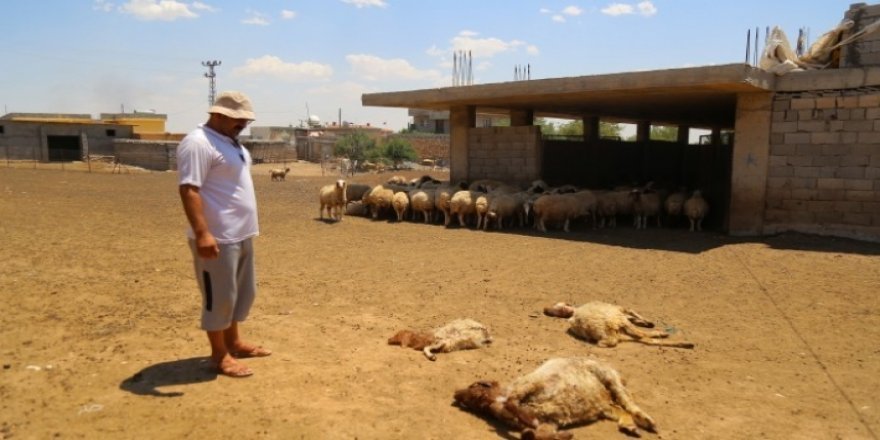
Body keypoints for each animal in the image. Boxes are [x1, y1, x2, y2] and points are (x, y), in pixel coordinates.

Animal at [458, 358, 656, 440]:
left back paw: (649, 422)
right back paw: (631, 427)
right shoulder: (550, 421)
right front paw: (564, 435)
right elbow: (538, 433)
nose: (456, 395)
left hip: (608, 376)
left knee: (628, 402)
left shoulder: (532, 384)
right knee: (622, 409)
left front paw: (529, 423)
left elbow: (513, 402)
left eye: (474, 387)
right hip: (606, 405)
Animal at [544, 300, 696, 348]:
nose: (547, 310)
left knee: (642, 338)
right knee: (643, 336)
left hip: (619, 332)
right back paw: (683, 342)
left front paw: (646, 322)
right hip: (618, 320)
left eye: (559, 307)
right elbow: (631, 310)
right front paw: (648, 323)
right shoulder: (620, 310)